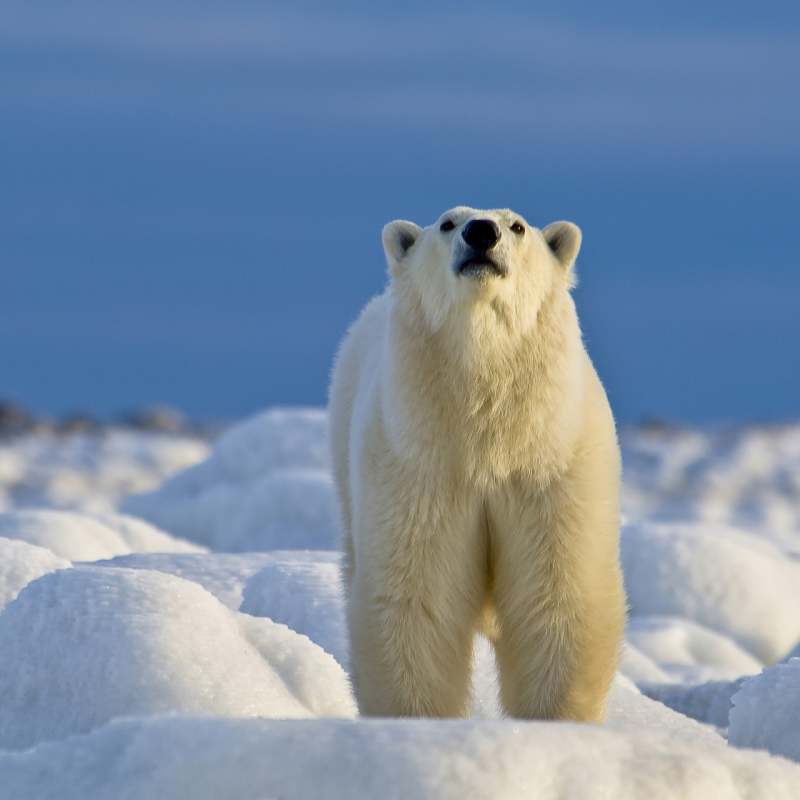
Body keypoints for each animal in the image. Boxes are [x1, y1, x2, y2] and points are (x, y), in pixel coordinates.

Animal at [328, 206, 626, 721]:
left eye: (518, 226)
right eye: (448, 223)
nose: (481, 232)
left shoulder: (550, 467)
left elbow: (558, 598)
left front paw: (554, 721)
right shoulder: (419, 468)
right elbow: (416, 599)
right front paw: (416, 722)